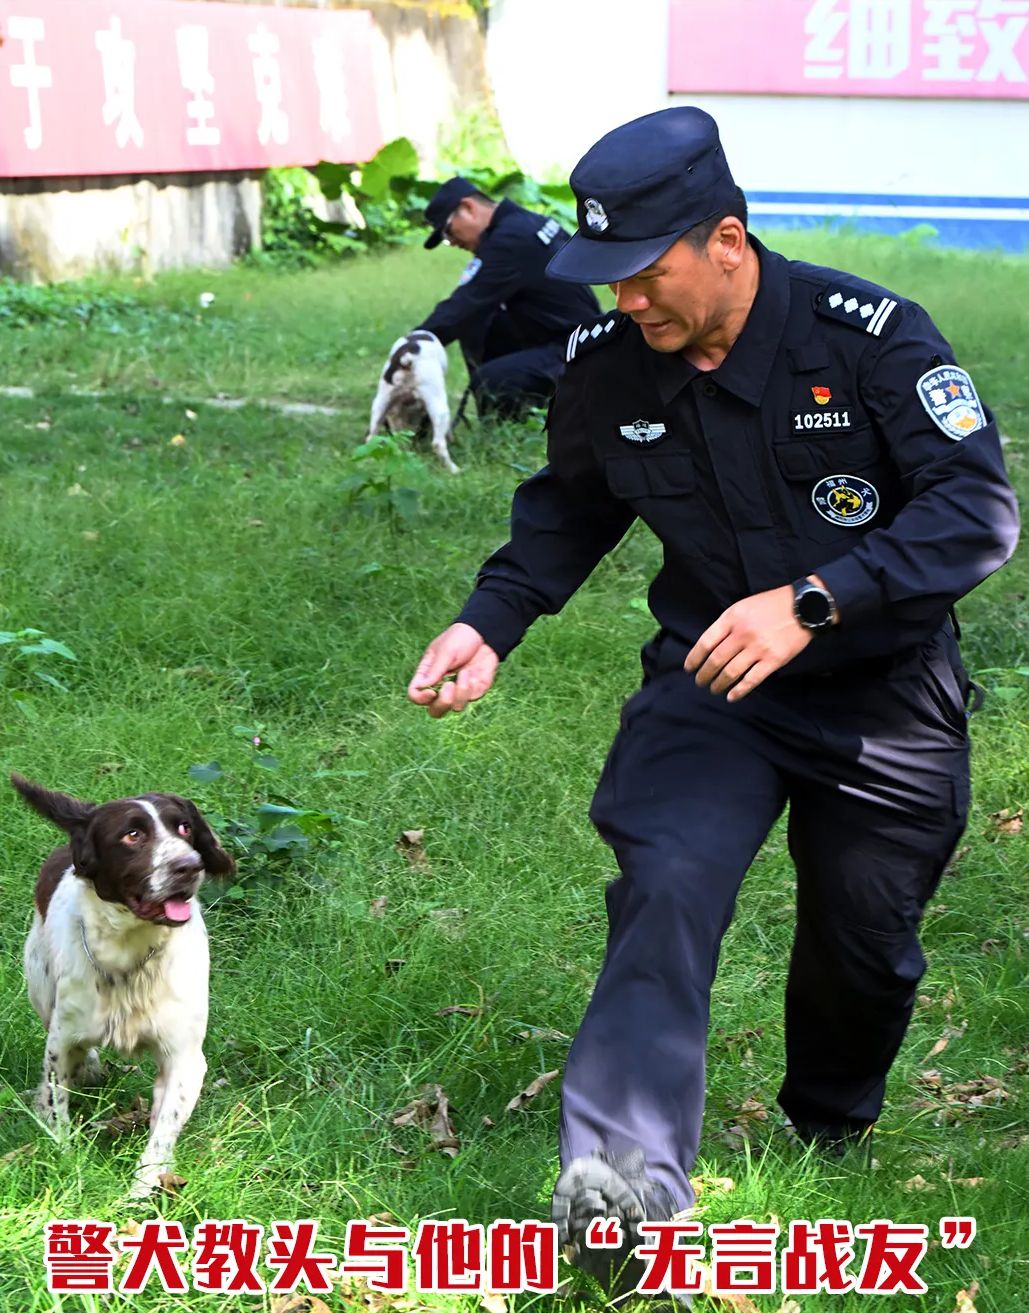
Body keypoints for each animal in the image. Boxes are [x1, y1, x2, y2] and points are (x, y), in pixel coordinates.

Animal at [14, 777, 233, 1202]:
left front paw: (143, 1186)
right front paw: (65, 1157)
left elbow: (164, 1128)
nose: (190, 866)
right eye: (132, 835)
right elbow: (57, 1098)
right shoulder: (62, 1040)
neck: (129, 955)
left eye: (185, 828)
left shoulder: (184, 1055)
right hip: (40, 986)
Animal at [364, 330, 456, 475]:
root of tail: (407, 358)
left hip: (381, 402)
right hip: (438, 405)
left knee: (371, 438)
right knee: (438, 444)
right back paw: (454, 469)